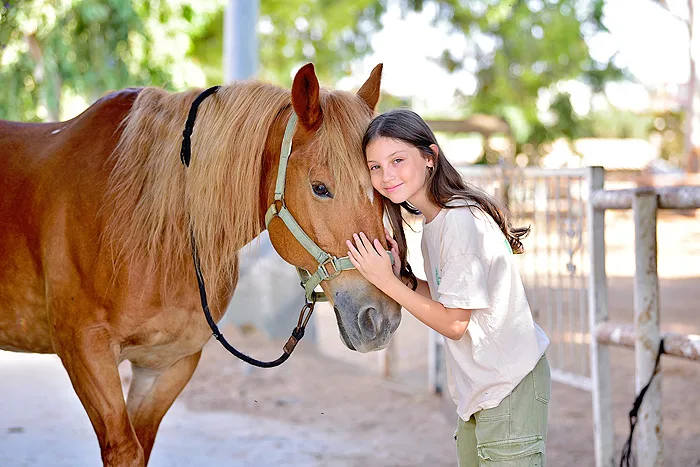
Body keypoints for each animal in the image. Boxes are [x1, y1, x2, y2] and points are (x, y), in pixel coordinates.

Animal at [0, 63, 402, 467]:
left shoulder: (168, 362)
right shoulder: (86, 351)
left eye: (382, 188)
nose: (380, 317)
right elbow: (124, 449)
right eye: (320, 188)